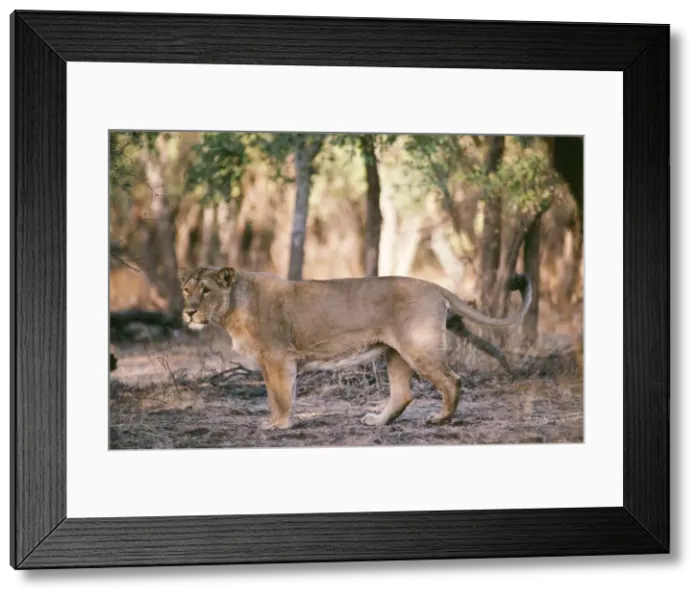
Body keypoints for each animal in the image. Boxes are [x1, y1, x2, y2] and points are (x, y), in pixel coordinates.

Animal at [179, 265, 532, 430]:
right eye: (186, 289)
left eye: (206, 290)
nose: (189, 312)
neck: (235, 306)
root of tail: (434, 286)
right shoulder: (283, 362)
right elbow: (285, 396)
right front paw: (285, 422)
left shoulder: (276, 358)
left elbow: (277, 397)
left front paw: (276, 425)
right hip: (395, 353)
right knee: (403, 394)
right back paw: (377, 422)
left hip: (418, 347)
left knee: (452, 380)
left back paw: (439, 419)